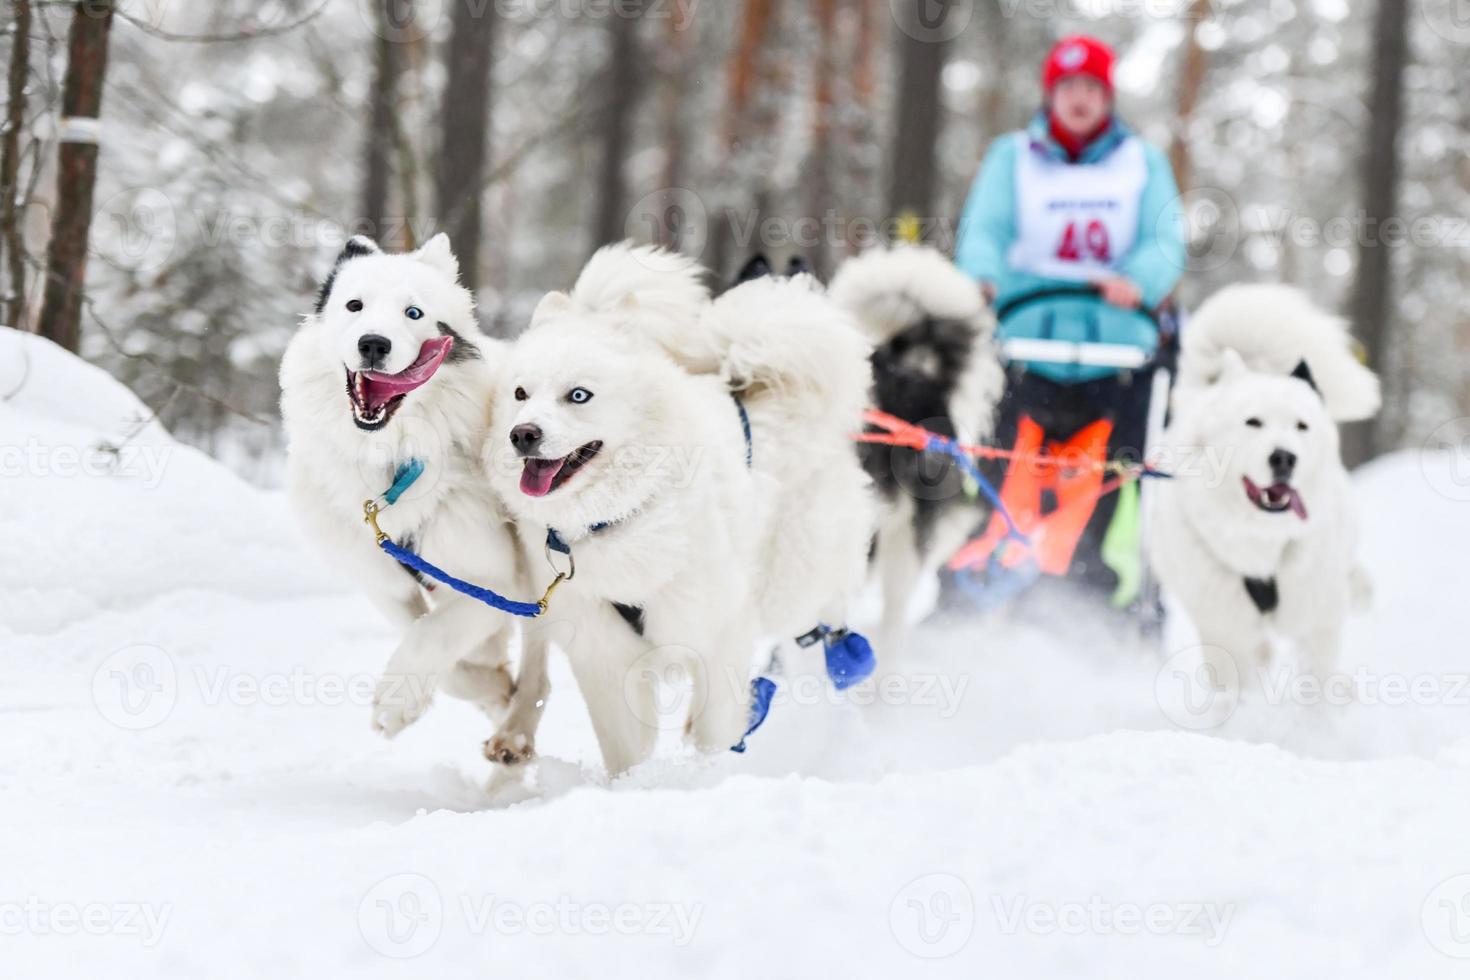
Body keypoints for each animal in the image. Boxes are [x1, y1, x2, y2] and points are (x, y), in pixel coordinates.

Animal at [277, 233, 549, 764]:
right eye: (355, 306)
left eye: (414, 313)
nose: (373, 344)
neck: (393, 462)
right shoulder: (386, 582)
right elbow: (441, 656)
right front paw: (487, 689)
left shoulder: (494, 582)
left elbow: (431, 636)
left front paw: (395, 703)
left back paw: (515, 733)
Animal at [1152, 282, 1381, 681]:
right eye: (1253, 422)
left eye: (1301, 425)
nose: (1284, 458)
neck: (1264, 544)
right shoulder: (1227, 632)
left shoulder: (1317, 620)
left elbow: (1316, 683)